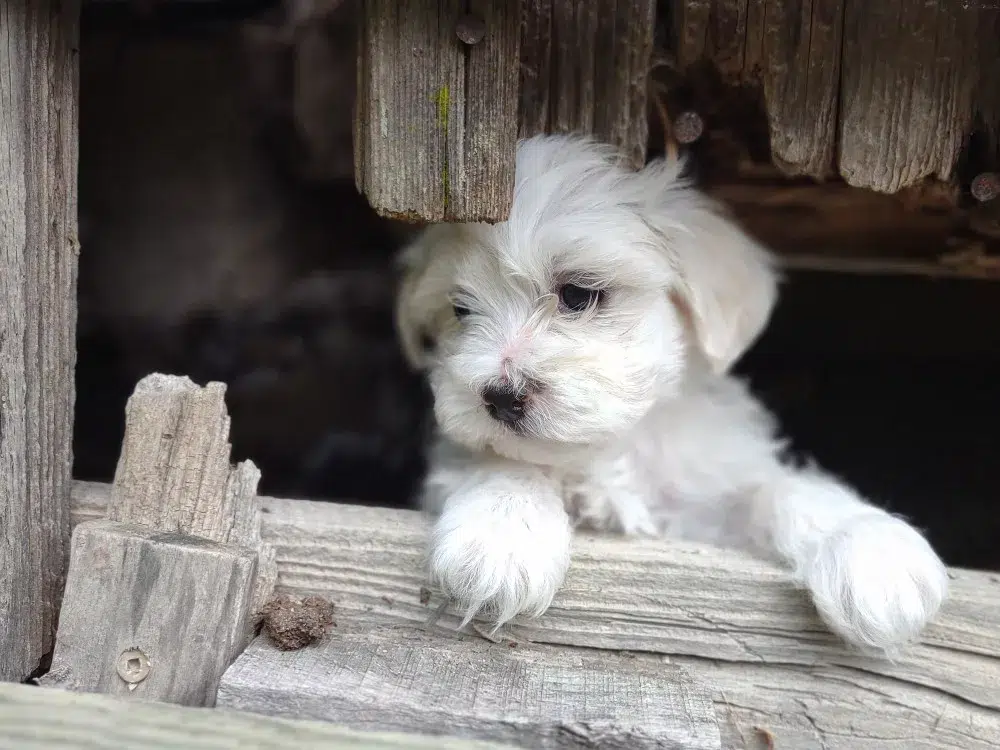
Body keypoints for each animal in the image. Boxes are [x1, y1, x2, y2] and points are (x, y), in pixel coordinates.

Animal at [394, 133, 947, 653]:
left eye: (578, 294)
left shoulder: (709, 509)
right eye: (461, 310)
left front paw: (872, 550)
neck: (615, 446)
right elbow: (504, 462)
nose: (499, 397)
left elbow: (780, 488)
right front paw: (499, 535)